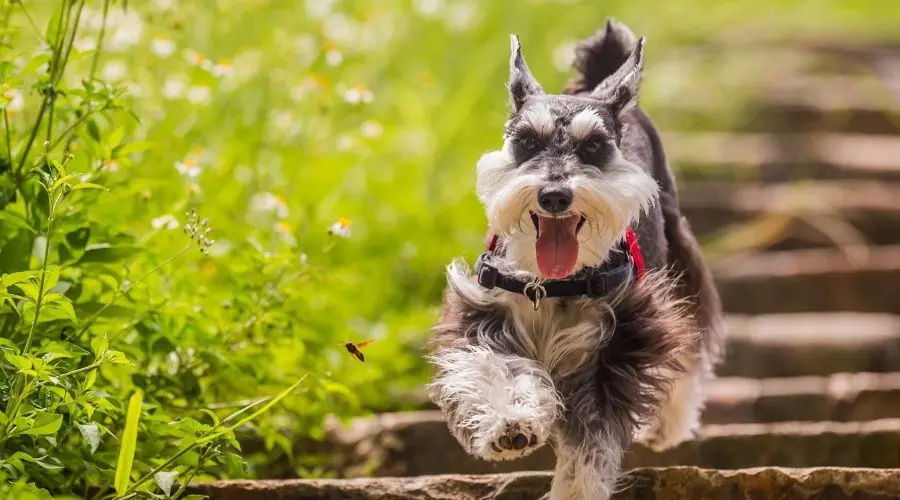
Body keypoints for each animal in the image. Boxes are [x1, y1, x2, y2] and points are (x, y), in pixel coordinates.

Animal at [426, 19, 728, 500]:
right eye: (526, 141)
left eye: (594, 147)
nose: (554, 196)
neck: (550, 283)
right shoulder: (482, 315)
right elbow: (496, 368)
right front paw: (510, 423)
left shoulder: (618, 344)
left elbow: (593, 439)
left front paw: (577, 489)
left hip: (679, 255)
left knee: (692, 342)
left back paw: (669, 424)